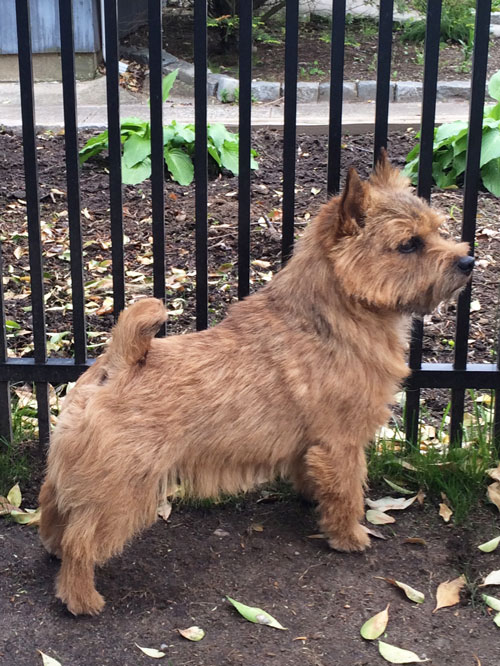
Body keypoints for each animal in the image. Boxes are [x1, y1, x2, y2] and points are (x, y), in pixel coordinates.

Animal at [38, 152, 472, 612]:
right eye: (409, 244)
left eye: (437, 229)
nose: (467, 261)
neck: (328, 320)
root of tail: (118, 363)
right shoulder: (342, 444)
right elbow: (347, 492)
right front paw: (349, 536)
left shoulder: (314, 446)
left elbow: (315, 477)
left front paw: (312, 499)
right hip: (123, 492)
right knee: (83, 540)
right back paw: (81, 598)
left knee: (52, 508)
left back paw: (53, 547)